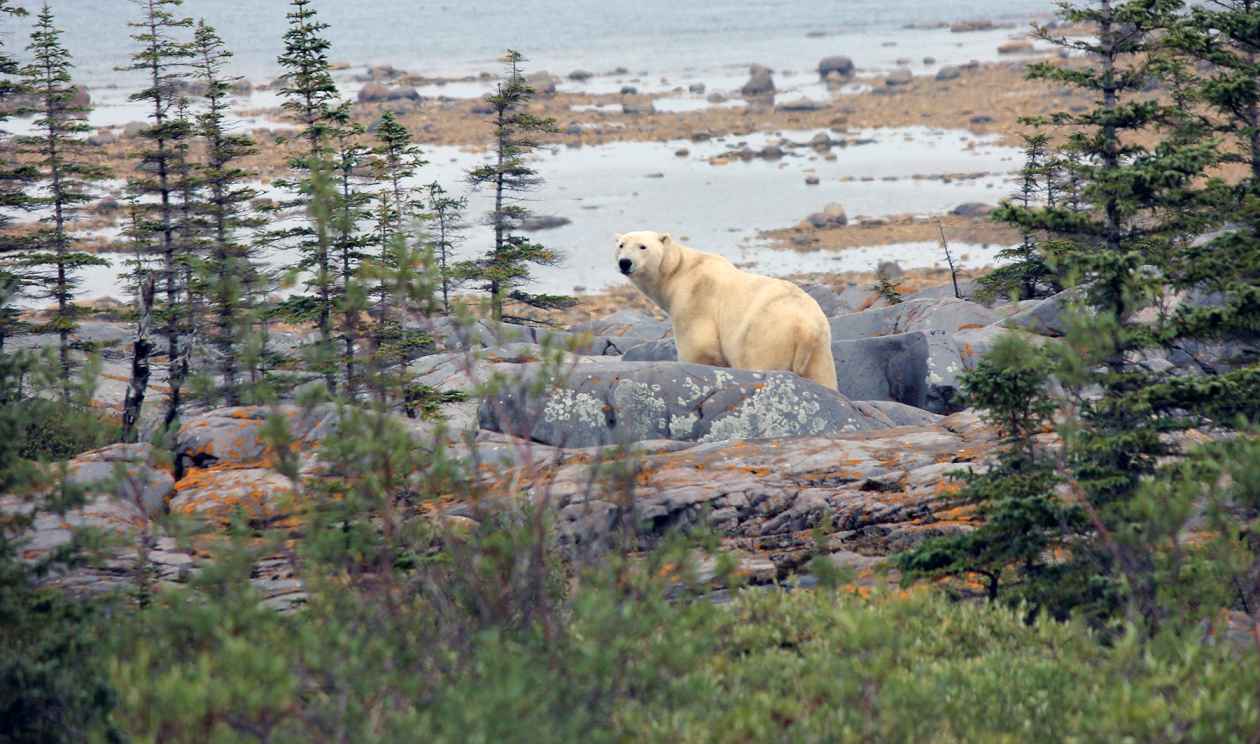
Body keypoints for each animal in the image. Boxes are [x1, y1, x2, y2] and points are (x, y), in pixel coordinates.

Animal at [617, 232, 841, 393]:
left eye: (642, 246)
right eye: (621, 245)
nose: (624, 262)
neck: (679, 270)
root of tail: (806, 328)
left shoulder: (695, 299)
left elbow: (699, 345)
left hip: (767, 338)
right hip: (819, 350)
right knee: (823, 377)